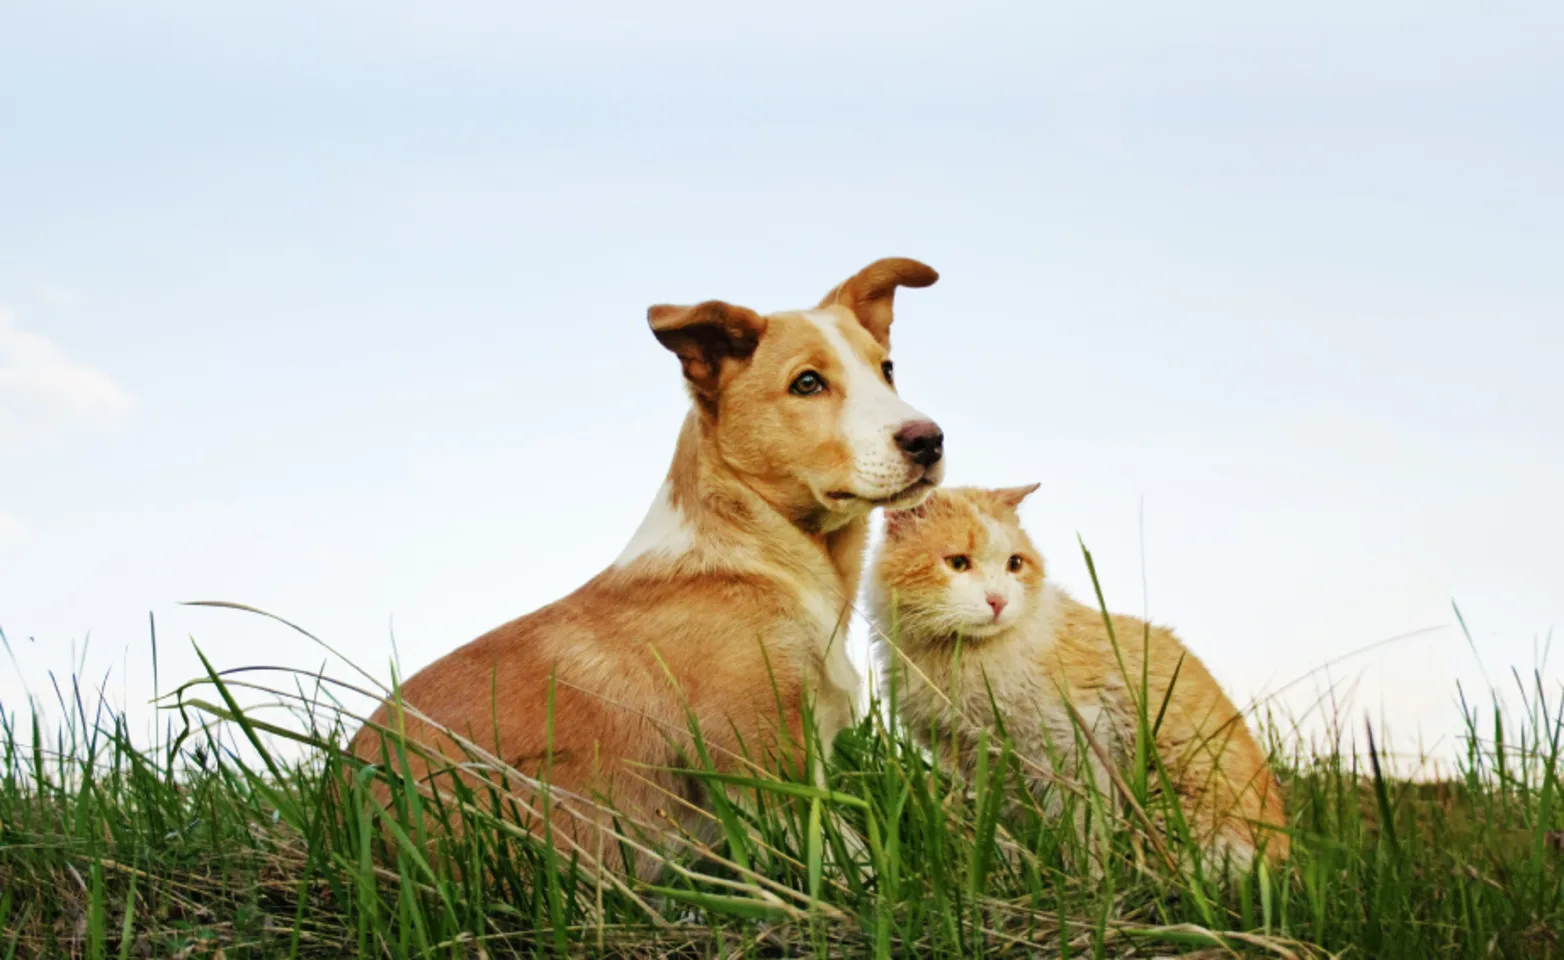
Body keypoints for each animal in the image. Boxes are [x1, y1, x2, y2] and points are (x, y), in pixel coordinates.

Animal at [351, 257, 938, 881]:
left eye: (887, 370)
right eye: (807, 383)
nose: (930, 440)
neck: (756, 546)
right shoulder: (769, 770)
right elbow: (848, 866)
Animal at [875, 487, 1288, 875]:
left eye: (1014, 564)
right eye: (957, 563)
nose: (998, 601)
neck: (956, 655)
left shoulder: (1077, 741)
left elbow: (1084, 828)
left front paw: (1088, 882)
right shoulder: (984, 764)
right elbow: (1005, 828)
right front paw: (1011, 871)